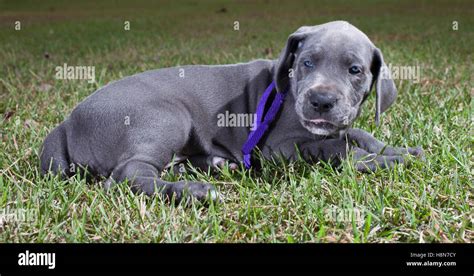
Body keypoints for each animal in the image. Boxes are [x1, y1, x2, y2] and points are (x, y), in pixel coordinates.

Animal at [41, 21, 422, 201]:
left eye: (355, 70)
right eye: (307, 63)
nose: (321, 101)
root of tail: (66, 122)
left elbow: (356, 133)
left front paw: (395, 149)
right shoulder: (278, 147)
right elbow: (336, 147)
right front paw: (385, 159)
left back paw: (214, 165)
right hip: (167, 115)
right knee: (128, 173)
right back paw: (195, 191)